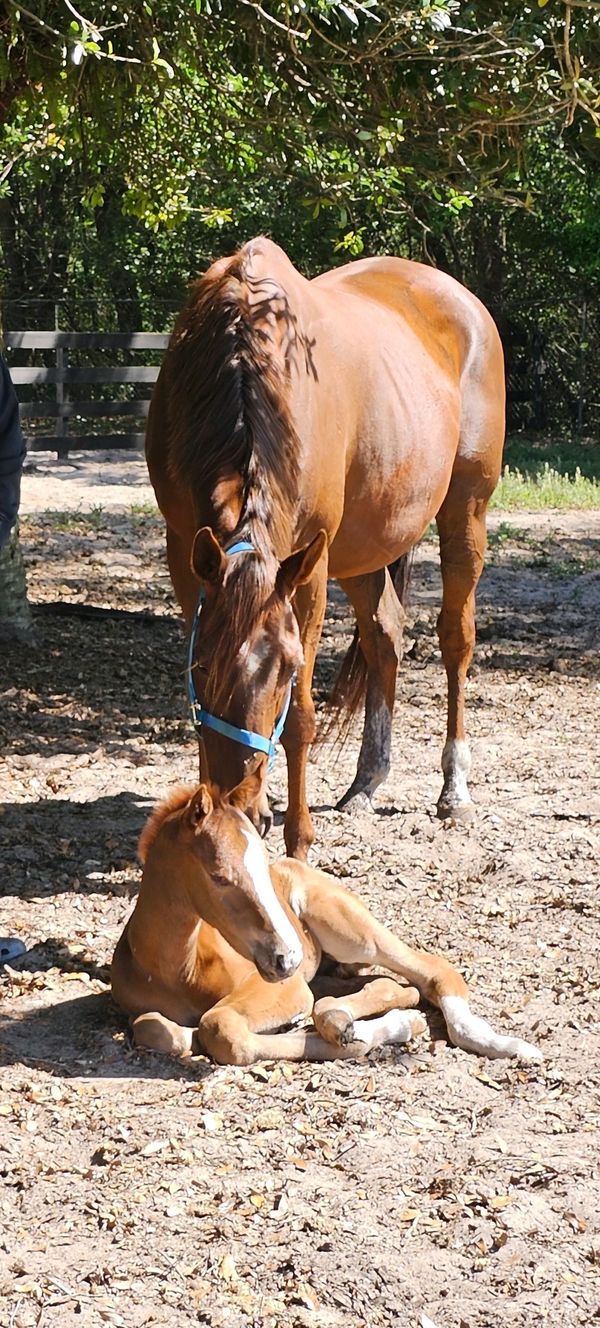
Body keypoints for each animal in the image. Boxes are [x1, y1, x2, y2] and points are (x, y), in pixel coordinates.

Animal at [111, 775, 541, 1066]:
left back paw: (501, 1044)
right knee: (384, 984)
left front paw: (380, 1031)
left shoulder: (283, 988)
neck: (177, 967)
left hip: (350, 933)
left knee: (431, 970)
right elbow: (158, 1028)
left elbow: (220, 1028)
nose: (287, 958)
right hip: (334, 965)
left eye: (262, 864)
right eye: (218, 876)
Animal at [145, 237, 505, 859]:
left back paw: (454, 788)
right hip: (361, 546)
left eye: (289, 669)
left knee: (456, 639)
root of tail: (464, 302)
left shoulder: (306, 571)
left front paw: (298, 838)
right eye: (203, 663)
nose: (240, 800)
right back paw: (366, 781)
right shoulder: (188, 556)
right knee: (385, 635)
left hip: (464, 511)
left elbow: (302, 719)